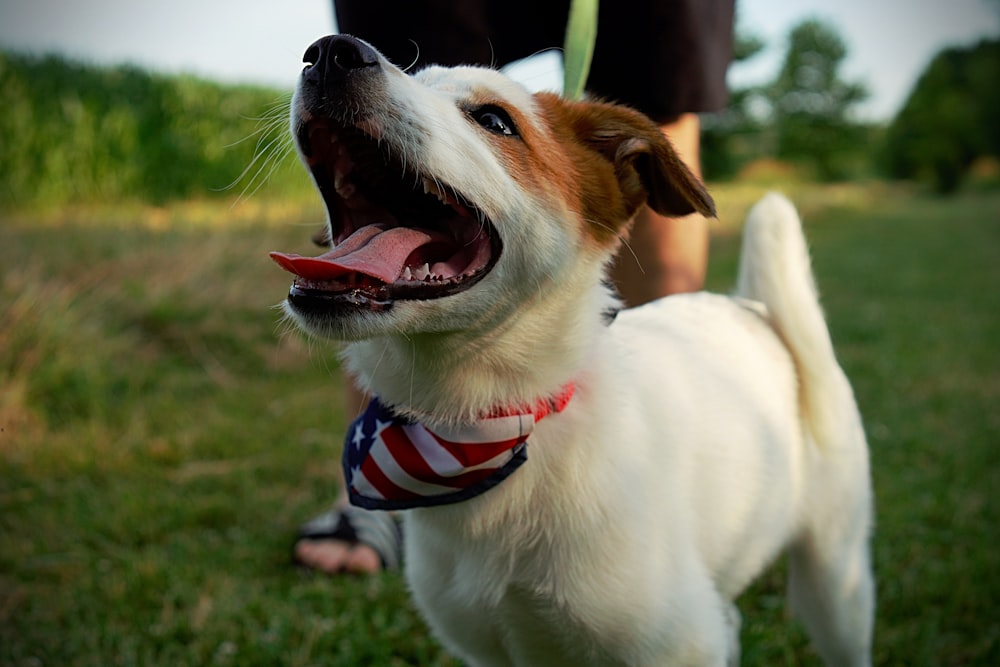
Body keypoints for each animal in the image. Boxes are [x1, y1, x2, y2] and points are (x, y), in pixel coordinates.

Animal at [270, 35, 872, 667]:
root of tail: (755, 311)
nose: (331, 52)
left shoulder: (677, 645)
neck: (487, 429)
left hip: (837, 580)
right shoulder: (491, 652)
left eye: (493, 120)